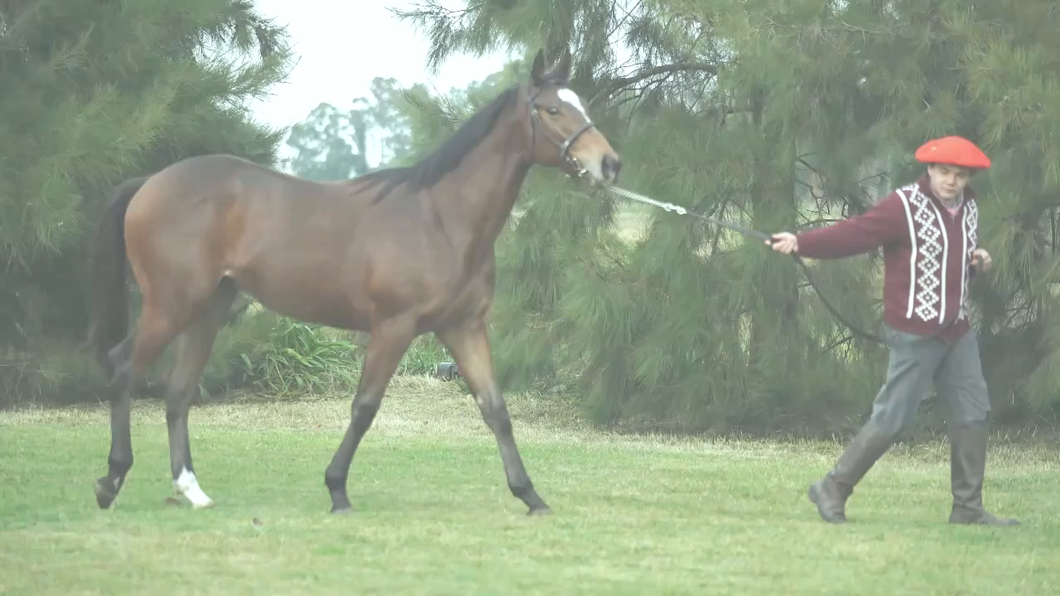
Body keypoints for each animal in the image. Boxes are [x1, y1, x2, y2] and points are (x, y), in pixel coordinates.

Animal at [89, 48, 619, 513]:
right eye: (552, 109)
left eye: (581, 105)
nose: (609, 164)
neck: (441, 218)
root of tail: (149, 183)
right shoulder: (393, 327)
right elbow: (365, 406)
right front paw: (337, 489)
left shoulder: (463, 327)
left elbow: (495, 409)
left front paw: (530, 496)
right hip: (171, 304)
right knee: (124, 367)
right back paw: (111, 480)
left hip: (207, 309)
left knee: (178, 390)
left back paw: (192, 491)